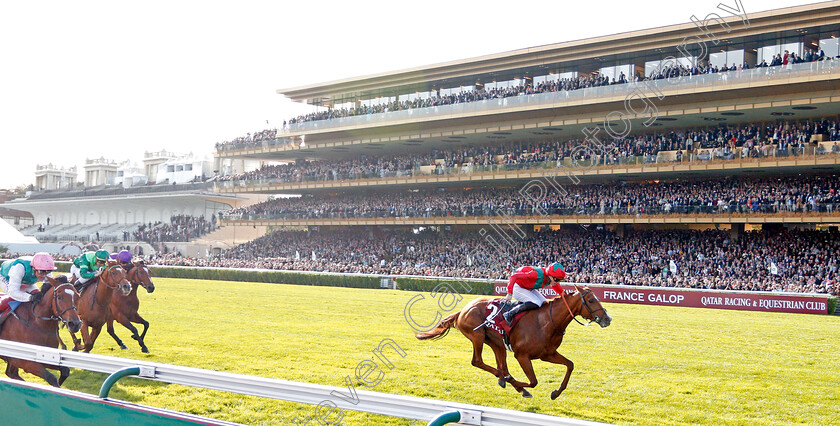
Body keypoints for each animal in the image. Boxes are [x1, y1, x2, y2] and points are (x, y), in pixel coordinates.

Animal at [418, 286, 612, 400]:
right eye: (591, 300)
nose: (607, 319)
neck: (547, 321)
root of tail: (462, 310)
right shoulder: (522, 355)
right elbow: (533, 381)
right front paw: (516, 383)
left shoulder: (547, 354)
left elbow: (570, 365)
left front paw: (556, 392)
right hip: (477, 336)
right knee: (478, 361)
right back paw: (507, 380)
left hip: (496, 344)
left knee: (501, 366)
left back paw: (509, 381)